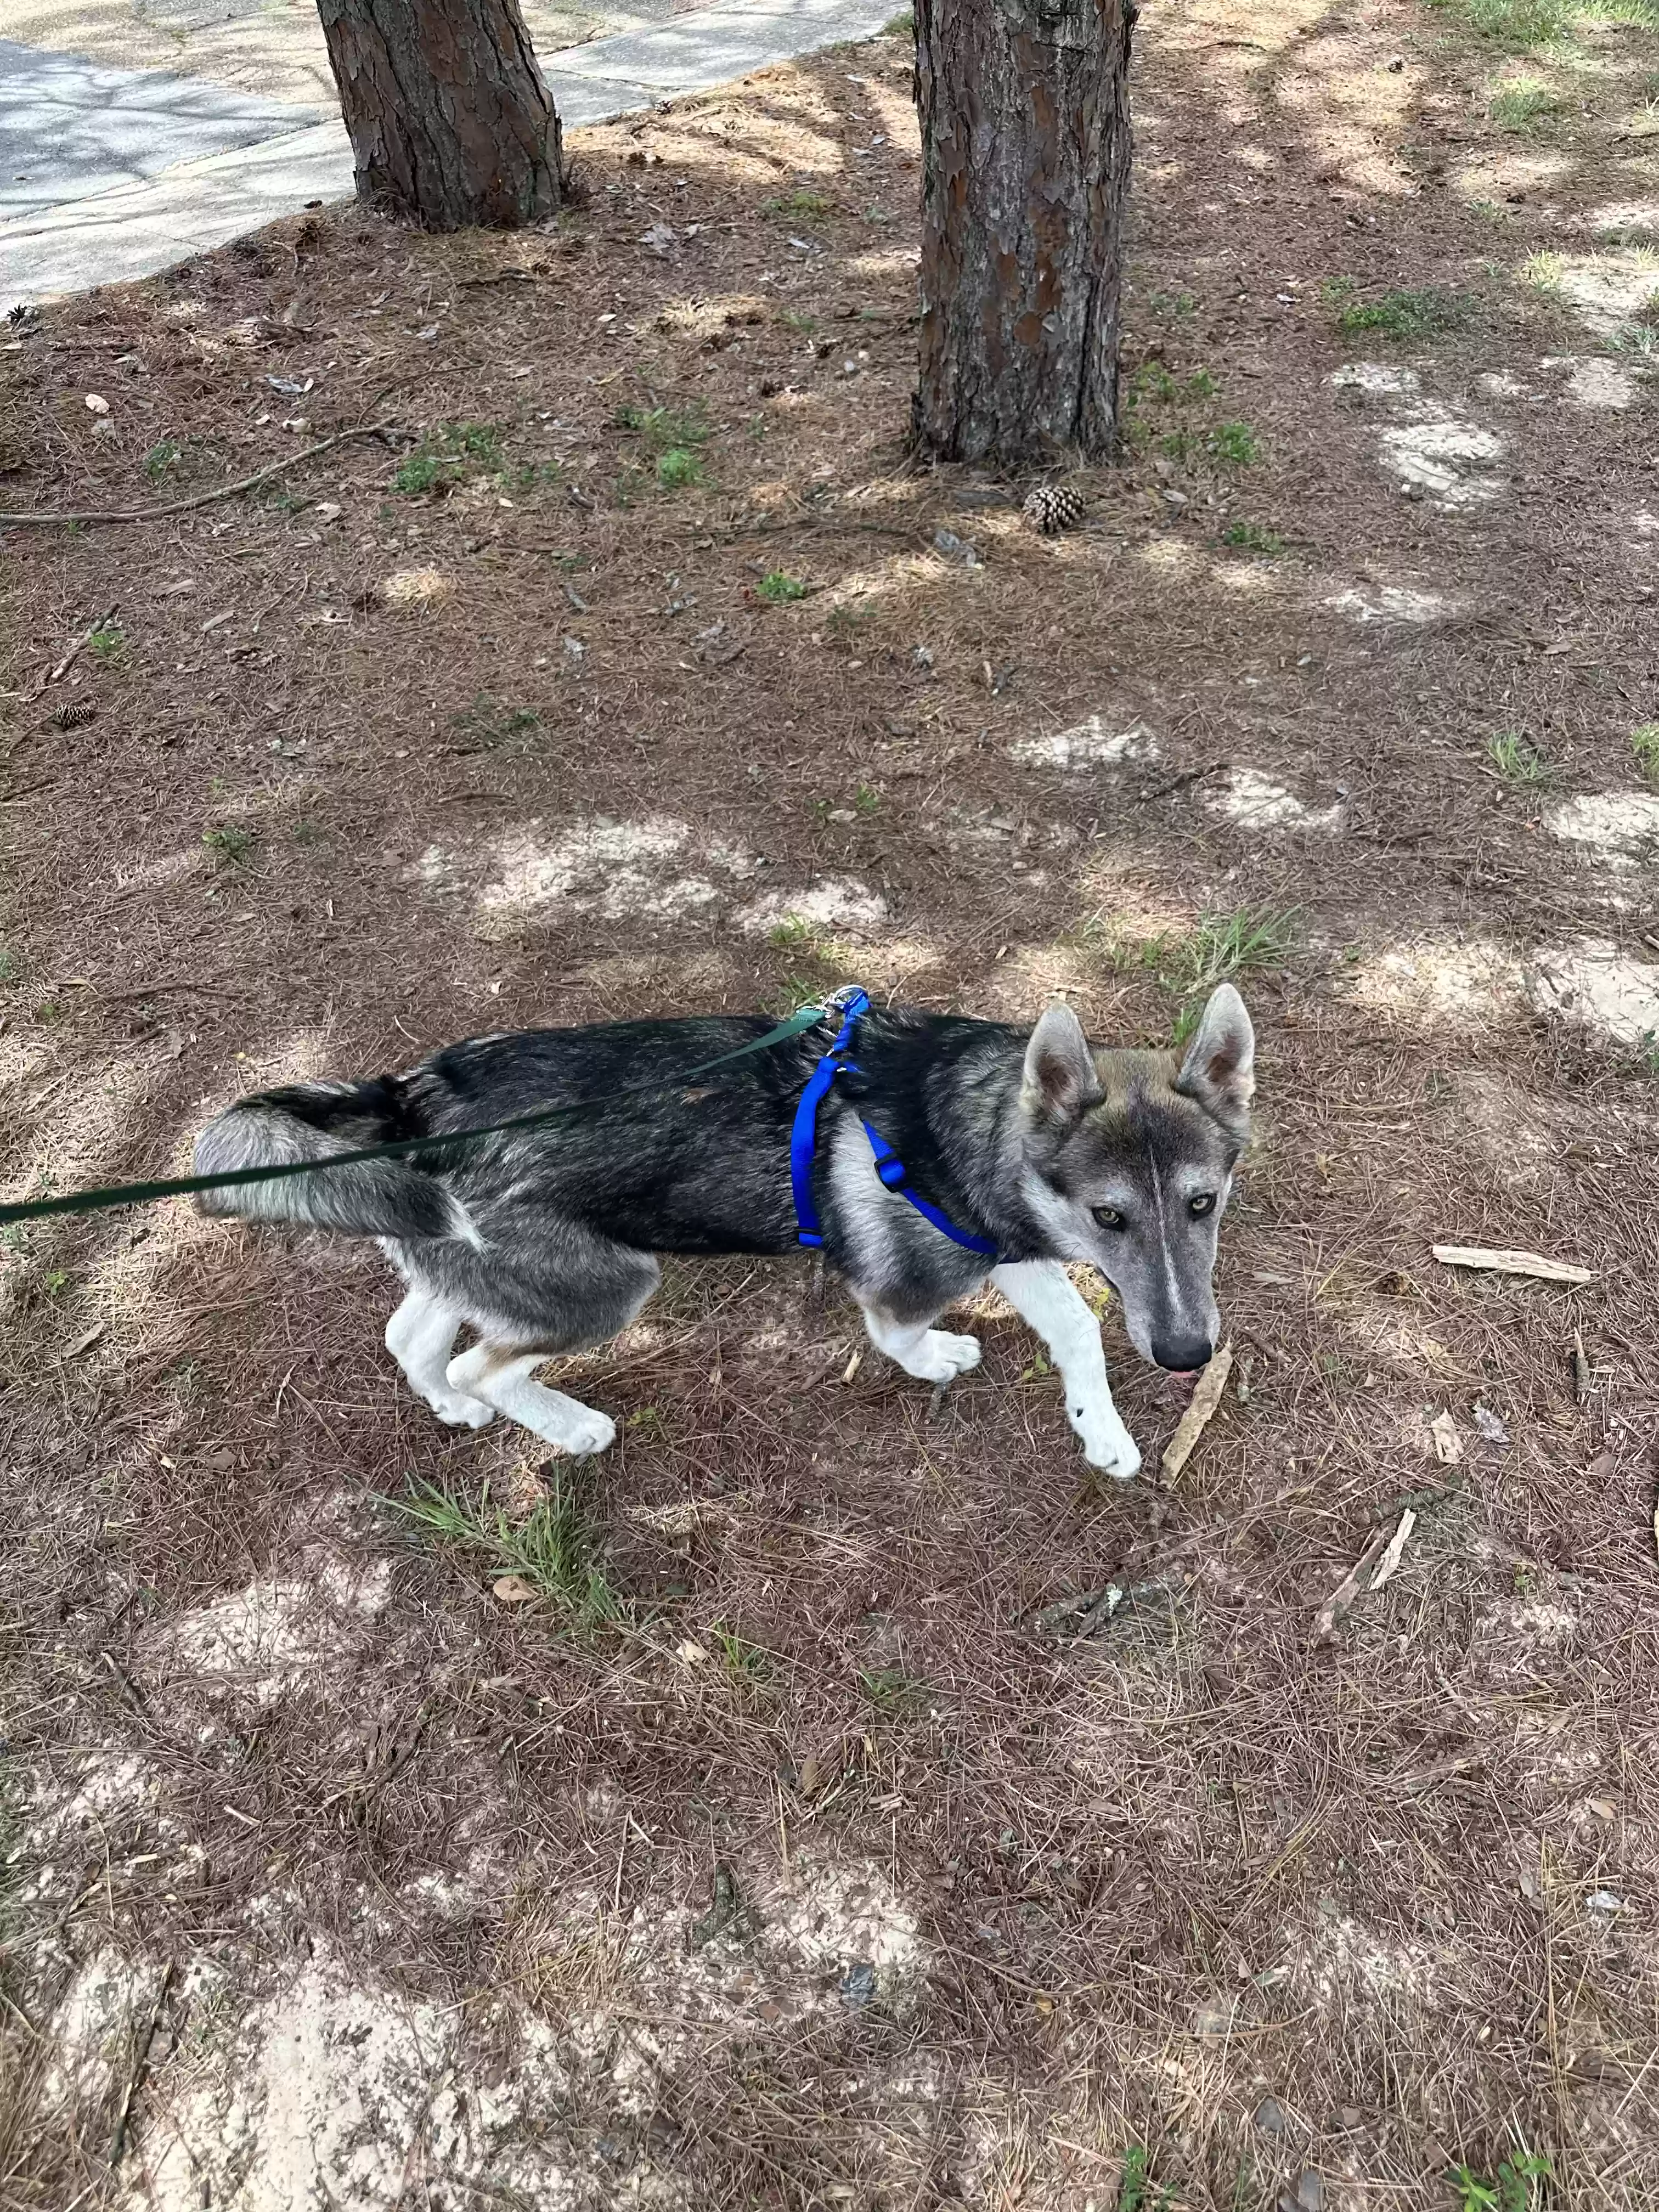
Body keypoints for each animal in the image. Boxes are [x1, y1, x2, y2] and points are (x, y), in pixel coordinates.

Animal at [194, 991, 1256, 1477]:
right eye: (1110, 1215)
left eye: (1203, 1203)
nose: (1186, 1356)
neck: (976, 1124)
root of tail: (415, 1098)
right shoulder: (911, 1279)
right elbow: (899, 1333)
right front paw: (935, 1363)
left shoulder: (1009, 1248)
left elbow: (1078, 1331)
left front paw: (1100, 1432)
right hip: (604, 1287)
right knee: (479, 1362)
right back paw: (566, 1425)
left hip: (471, 1261)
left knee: (412, 1335)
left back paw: (451, 1412)